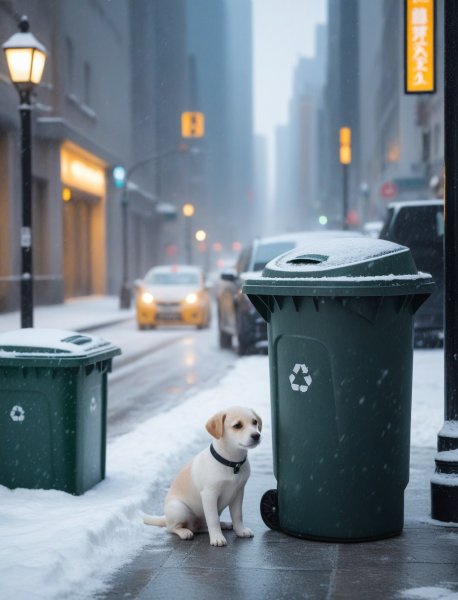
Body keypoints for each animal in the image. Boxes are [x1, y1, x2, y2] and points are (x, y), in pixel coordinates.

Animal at [145, 406, 262, 548]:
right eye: (237, 425)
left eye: (254, 422)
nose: (256, 435)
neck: (232, 464)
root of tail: (166, 518)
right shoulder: (209, 495)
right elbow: (213, 519)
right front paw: (217, 538)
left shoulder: (238, 493)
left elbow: (238, 515)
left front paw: (240, 531)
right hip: (179, 509)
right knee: (172, 528)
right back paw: (185, 532)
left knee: (201, 527)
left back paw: (224, 525)